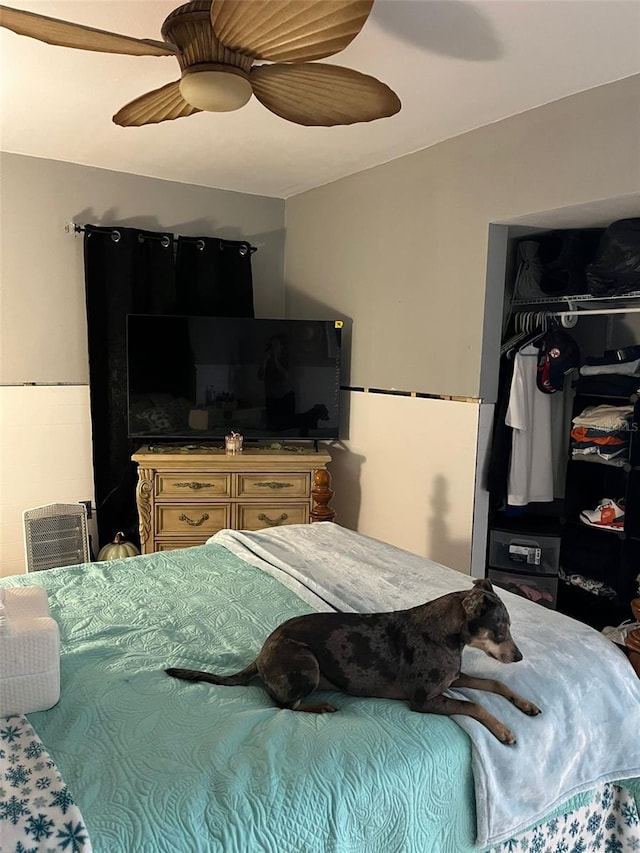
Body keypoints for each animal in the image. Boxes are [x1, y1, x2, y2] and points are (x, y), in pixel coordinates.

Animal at [165, 580, 540, 744]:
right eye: (501, 629)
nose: (519, 656)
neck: (447, 635)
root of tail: (260, 655)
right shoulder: (424, 700)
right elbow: (474, 706)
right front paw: (504, 730)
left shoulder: (454, 678)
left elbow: (494, 682)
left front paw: (526, 705)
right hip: (307, 662)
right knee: (285, 704)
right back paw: (321, 707)